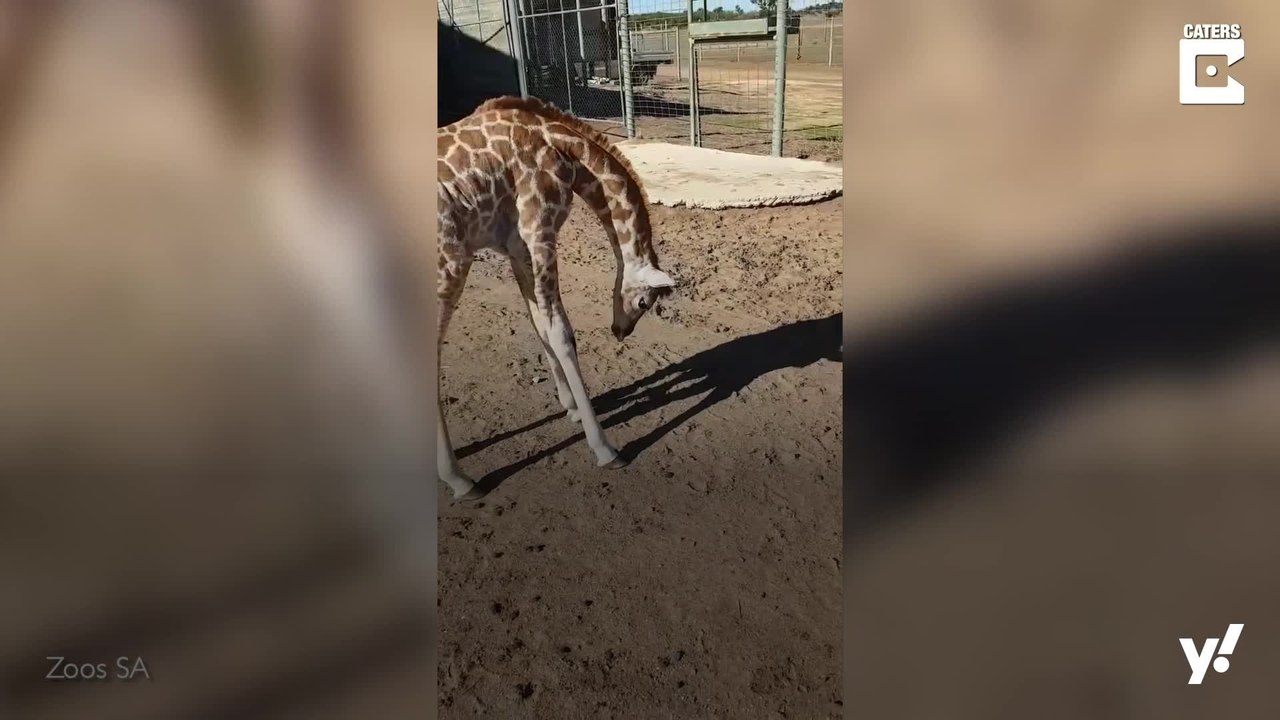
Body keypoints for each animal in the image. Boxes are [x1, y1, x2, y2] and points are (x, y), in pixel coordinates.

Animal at [437, 96, 676, 501]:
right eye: (645, 303)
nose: (620, 331)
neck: (569, 151)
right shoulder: (539, 230)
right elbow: (561, 333)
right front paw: (604, 448)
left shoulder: (517, 246)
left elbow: (539, 325)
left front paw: (571, 408)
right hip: (449, 265)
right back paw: (459, 479)